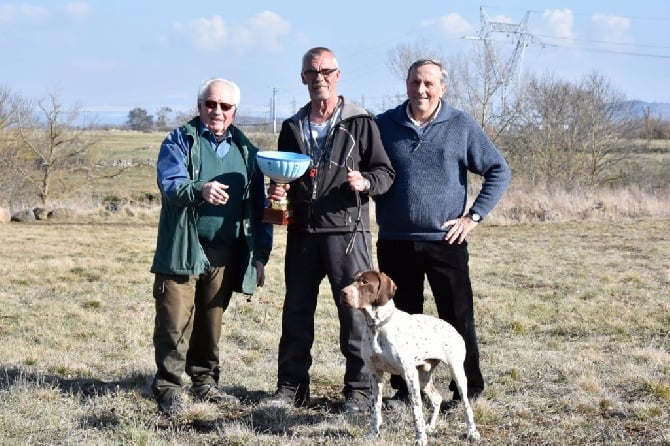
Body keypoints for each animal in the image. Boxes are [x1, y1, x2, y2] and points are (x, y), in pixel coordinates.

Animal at [344, 270, 480, 444]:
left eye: (365, 282)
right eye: (352, 280)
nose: (342, 293)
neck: (377, 327)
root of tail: (452, 328)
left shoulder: (409, 375)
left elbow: (416, 411)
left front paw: (420, 439)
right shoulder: (375, 375)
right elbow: (376, 409)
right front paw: (373, 434)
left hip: (456, 373)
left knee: (466, 406)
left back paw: (472, 433)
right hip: (423, 376)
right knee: (437, 399)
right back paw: (431, 426)